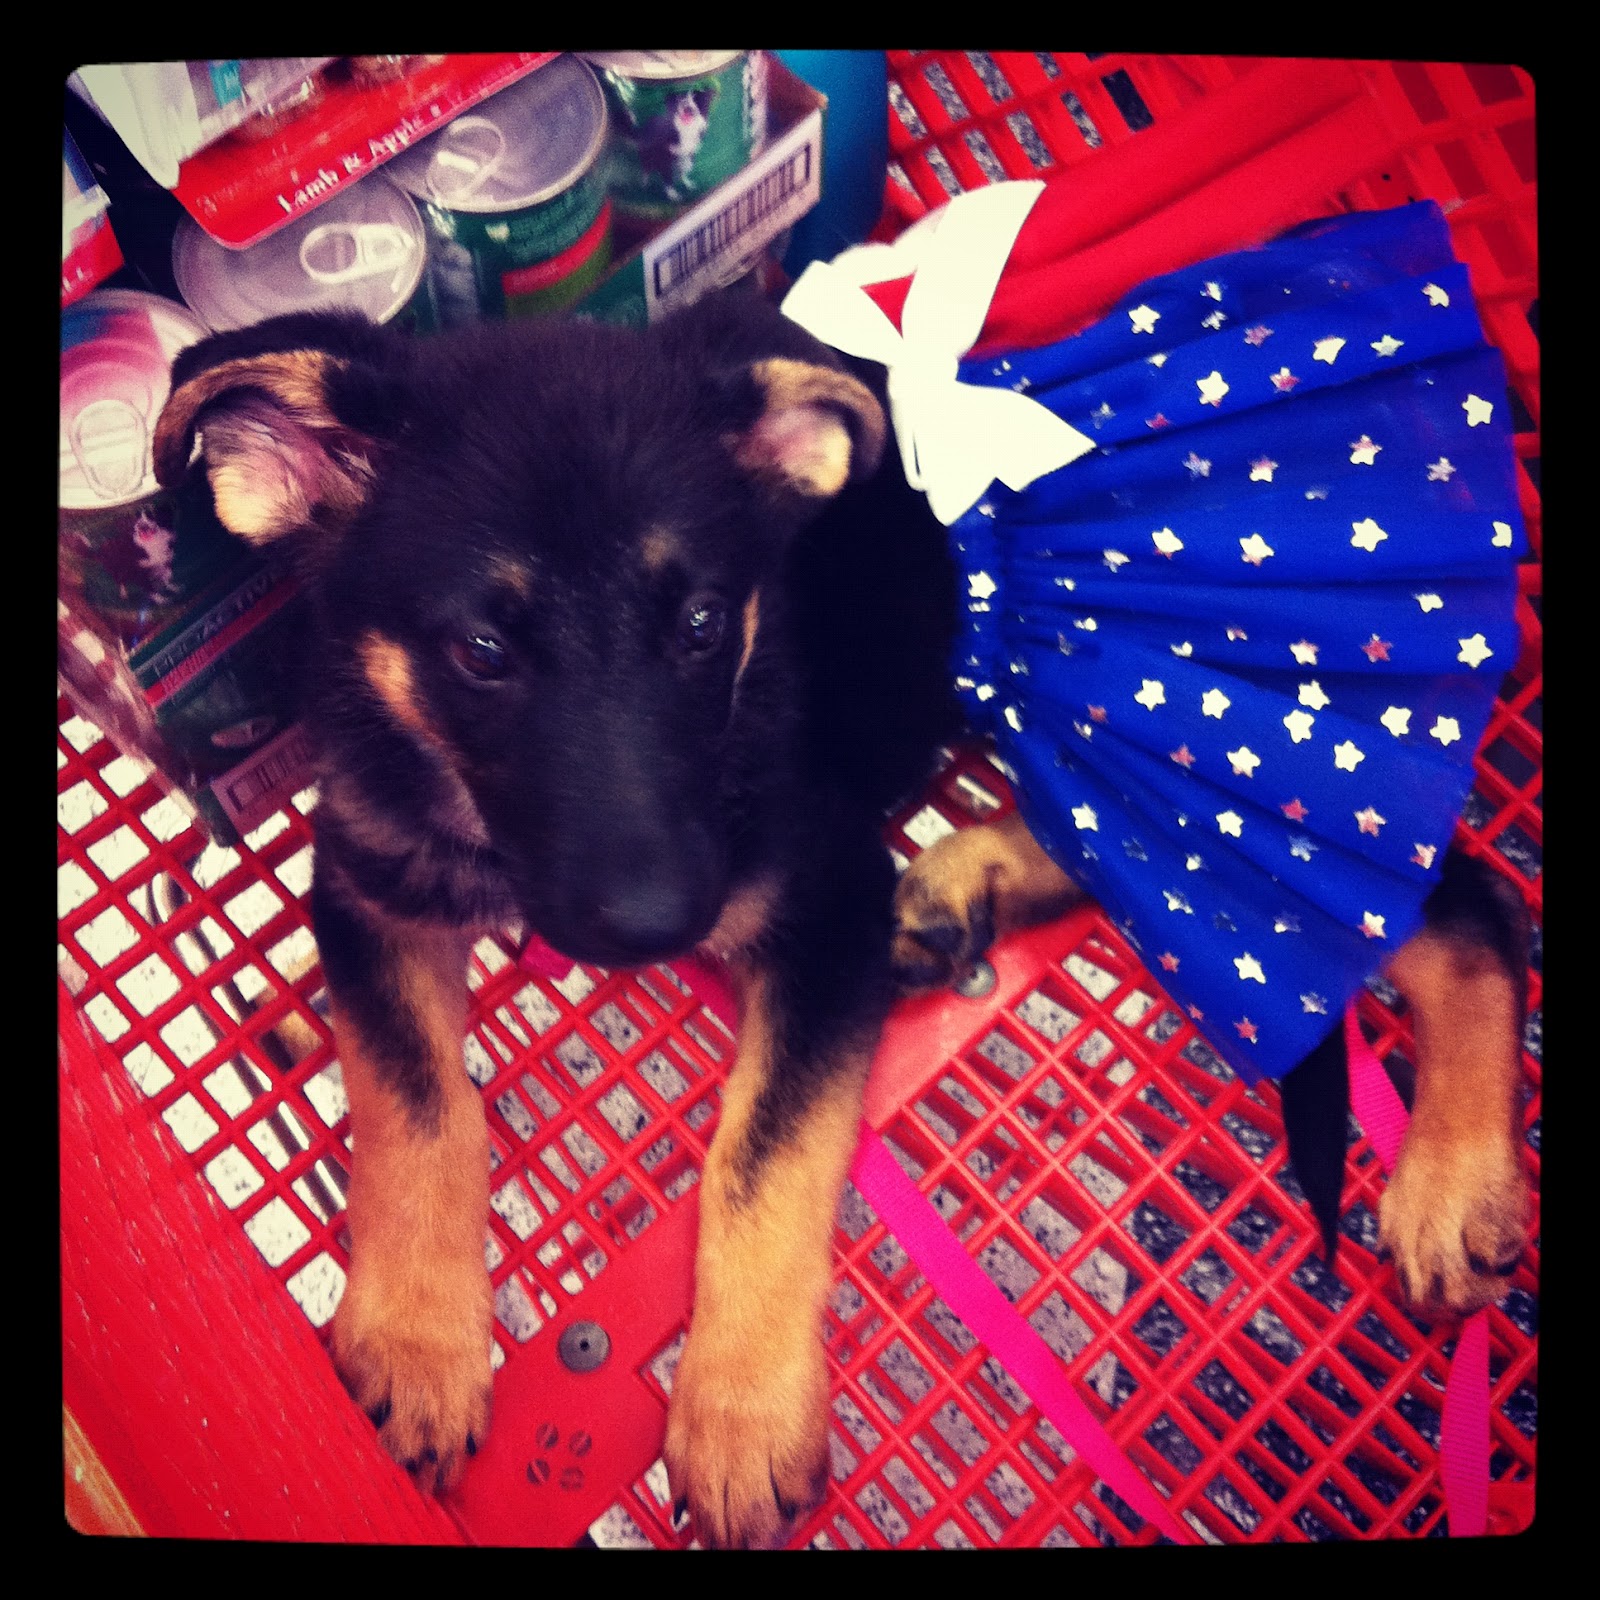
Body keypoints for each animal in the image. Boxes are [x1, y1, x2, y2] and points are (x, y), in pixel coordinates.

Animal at [154, 288, 1530, 1548]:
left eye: (705, 623)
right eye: (481, 652)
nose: (664, 920)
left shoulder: (823, 903)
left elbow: (760, 1152)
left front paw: (740, 1412)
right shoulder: (363, 881)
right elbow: (417, 1103)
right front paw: (420, 1339)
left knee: (1459, 899)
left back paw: (1454, 1174)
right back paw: (964, 883)